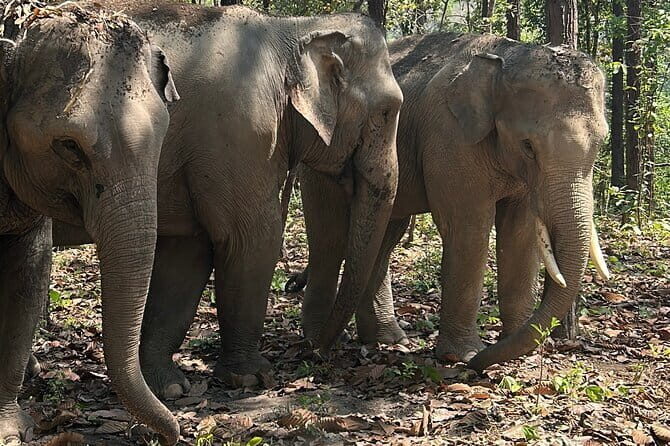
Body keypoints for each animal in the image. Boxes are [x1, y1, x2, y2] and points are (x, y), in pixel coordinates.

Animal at [51, 0, 403, 405]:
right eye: (388, 111)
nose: (316, 354)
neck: (291, 31)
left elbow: (187, 254)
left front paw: (168, 386)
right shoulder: (241, 134)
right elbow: (252, 240)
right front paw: (252, 378)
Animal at [294, 32, 611, 372]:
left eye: (601, 142)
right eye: (528, 146)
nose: (480, 365)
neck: (507, 56)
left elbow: (520, 235)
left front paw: (520, 352)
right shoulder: (449, 138)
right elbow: (468, 231)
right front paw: (463, 356)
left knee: (385, 235)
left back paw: (387, 339)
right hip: (321, 151)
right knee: (329, 235)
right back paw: (317, 342)